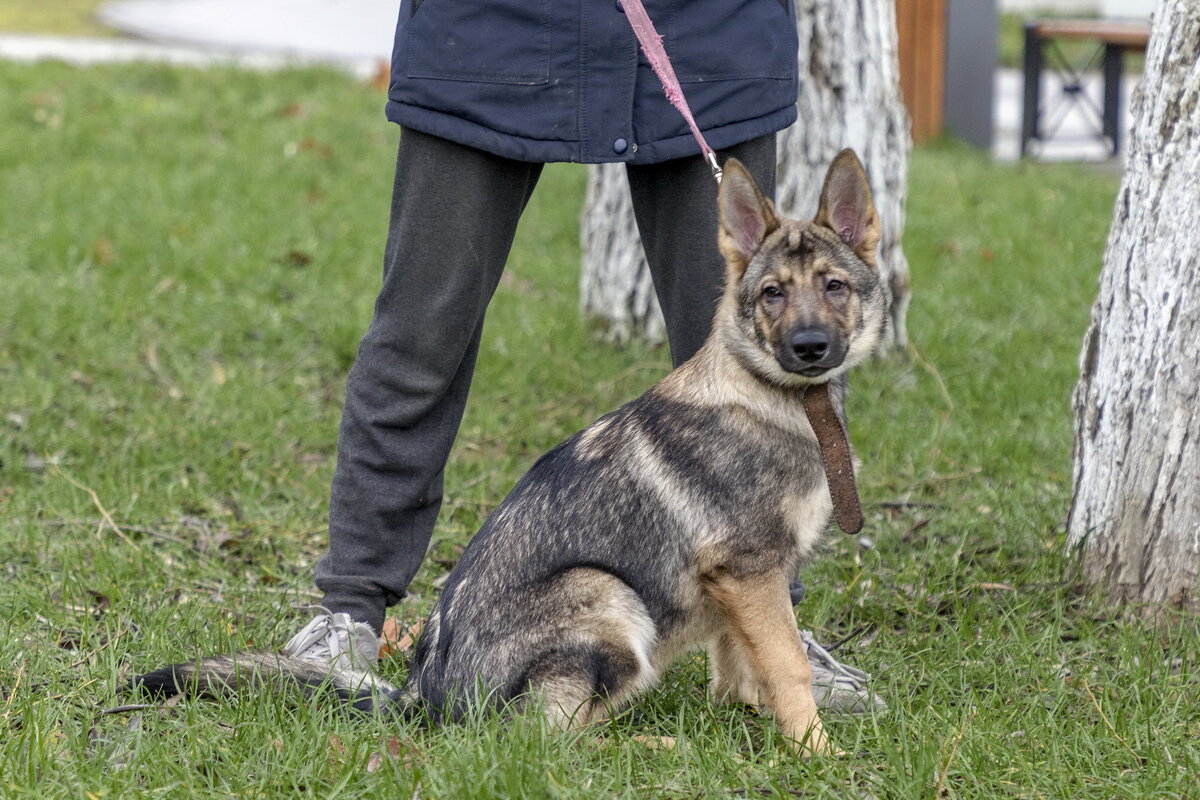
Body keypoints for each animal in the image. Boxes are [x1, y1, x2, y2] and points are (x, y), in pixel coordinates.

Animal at [136, 149, 888, 758]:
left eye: (834, 286)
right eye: (773, 294)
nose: (811, 348)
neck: (775, 397)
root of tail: (426, 700)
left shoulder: (744, 584)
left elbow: (746, 669)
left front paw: (757, 725)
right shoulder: (748, 572)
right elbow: (787, 666)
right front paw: (815, 753)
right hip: (609, 599)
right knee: (542, 739)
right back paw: (651, 745)